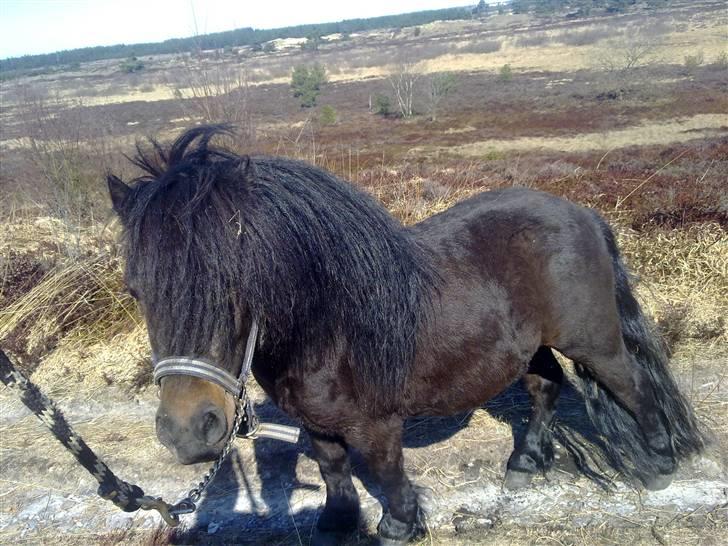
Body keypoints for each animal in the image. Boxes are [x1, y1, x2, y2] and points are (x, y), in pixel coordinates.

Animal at [108, 126, 704, 540]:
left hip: (592, 340)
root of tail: (583, 213)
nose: (187, 433)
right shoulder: (315, 420)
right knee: (545, 388)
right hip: (528, 348)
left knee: (631, 385)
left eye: (235, 283)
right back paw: (525, 464)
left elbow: (386, 468)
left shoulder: (376, 421)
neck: (325, 322)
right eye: (136, 290)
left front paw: (399, 525)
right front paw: (338, 521)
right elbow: (332, 466)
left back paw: (659, 463)